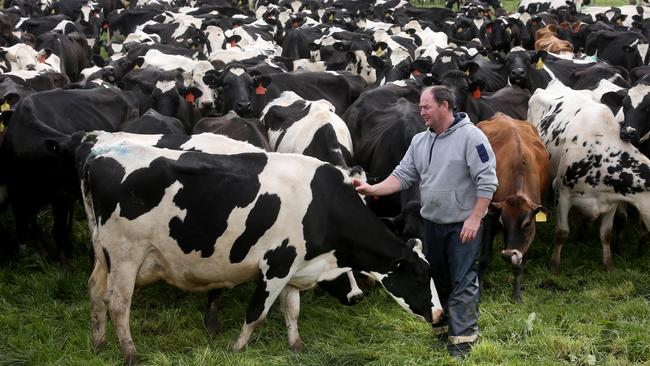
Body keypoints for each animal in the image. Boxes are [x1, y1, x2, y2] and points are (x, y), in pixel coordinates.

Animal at [476, 113, 548, 300]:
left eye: (527, 224)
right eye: (502, 222)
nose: (509, 255)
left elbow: (519, 263)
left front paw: (516, 294)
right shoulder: (490, 216)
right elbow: (485, 257)